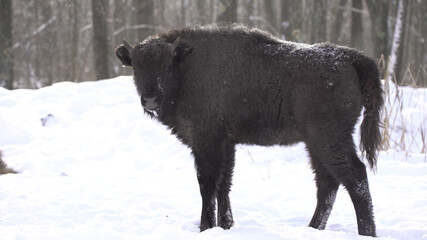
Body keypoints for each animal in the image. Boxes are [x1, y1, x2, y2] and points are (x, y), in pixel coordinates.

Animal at [114, 24, 384, 236]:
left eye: (168, 66)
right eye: (135, 68)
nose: (150, 99)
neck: (187, 69)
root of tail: (352, 58)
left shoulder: (206, 143)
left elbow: (207, 185)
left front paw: (205, 227)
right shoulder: (226, 144)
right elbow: (224, 184)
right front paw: (226, 225)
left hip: (328, 138)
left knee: (354, 177)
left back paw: (366, 233)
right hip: (315, 143)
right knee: (328, 183)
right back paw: (313, 229)